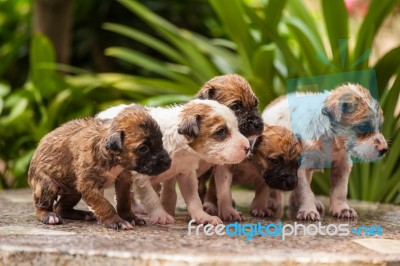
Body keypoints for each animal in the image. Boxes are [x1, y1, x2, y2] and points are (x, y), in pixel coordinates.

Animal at [27, 106, 171, 231]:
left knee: (60, 207)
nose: (168, 162)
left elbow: (124, 201)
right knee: (43, 206)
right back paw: (48, 215)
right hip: (48, 185)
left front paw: (130, 217)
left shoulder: (123, 180)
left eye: (161, 142)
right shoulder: (89, 185)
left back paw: (83, 214)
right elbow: (104, 204)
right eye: (143, 148)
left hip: (74, 190)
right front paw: (116, 221)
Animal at [97, 99, 250, 224]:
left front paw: (202, 217)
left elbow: (194, 199)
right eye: (221, 132)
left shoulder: (186, 174)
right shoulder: (141, 176)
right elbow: (152, 197)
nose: (248, 147)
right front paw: (161, 215)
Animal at [159, 73, 266, 220]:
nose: (259, 124)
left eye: (256, 105)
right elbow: (170, 190)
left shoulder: (223, 166)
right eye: (235, 107)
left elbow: (222, 190)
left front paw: (227, 211)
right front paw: (168, 209)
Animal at [262, 83, 388, 220]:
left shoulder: (342, 164)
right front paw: (308, 211)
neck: (331, 140)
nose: (384, 150)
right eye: (363, 127)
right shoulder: (300, 167)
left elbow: (340, 190)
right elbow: (305, 191)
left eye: (380, 127)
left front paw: (342, 209)